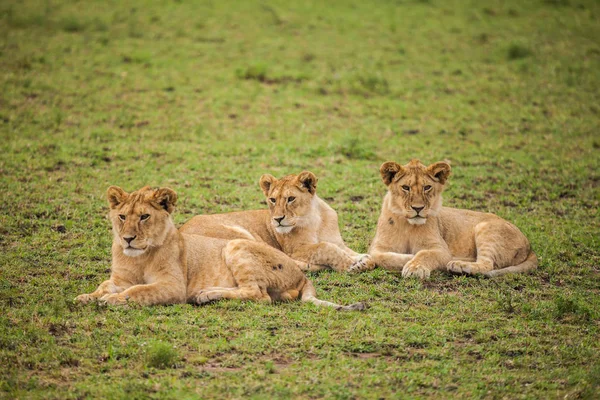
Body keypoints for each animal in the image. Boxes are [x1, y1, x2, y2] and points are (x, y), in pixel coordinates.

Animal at [75, 186, 366, 310]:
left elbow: (138, 291)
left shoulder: (173, 287)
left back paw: (206, 295)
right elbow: (105, 285)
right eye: (122, 216)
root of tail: (301, 277)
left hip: (237, 245)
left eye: (144, 216)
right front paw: (87, 297)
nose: (128, 238)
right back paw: (207, 294)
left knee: (258, 295)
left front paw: (112, 300)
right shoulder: (119, 279)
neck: (137, 257)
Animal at [179, 170, 376, 274]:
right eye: (273, 200)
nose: (278, 219)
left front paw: (363, 258)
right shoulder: (295, 249)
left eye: (290, 198)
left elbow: (345, 250)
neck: (316, 220)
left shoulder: (337, 242)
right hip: (237, 235)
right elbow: (325, 248)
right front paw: (352, 264)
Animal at [368, 159, 536, 278]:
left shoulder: (441, 249)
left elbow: (425, 253)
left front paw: (414, 267)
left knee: (487, 265)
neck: (408, 225)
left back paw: (458, 265)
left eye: (427, 187)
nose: (418, 208)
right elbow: (380, 257)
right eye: (405, 187)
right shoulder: (377, 247)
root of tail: (529, 245)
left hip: (486, 229)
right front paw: (408, 258)